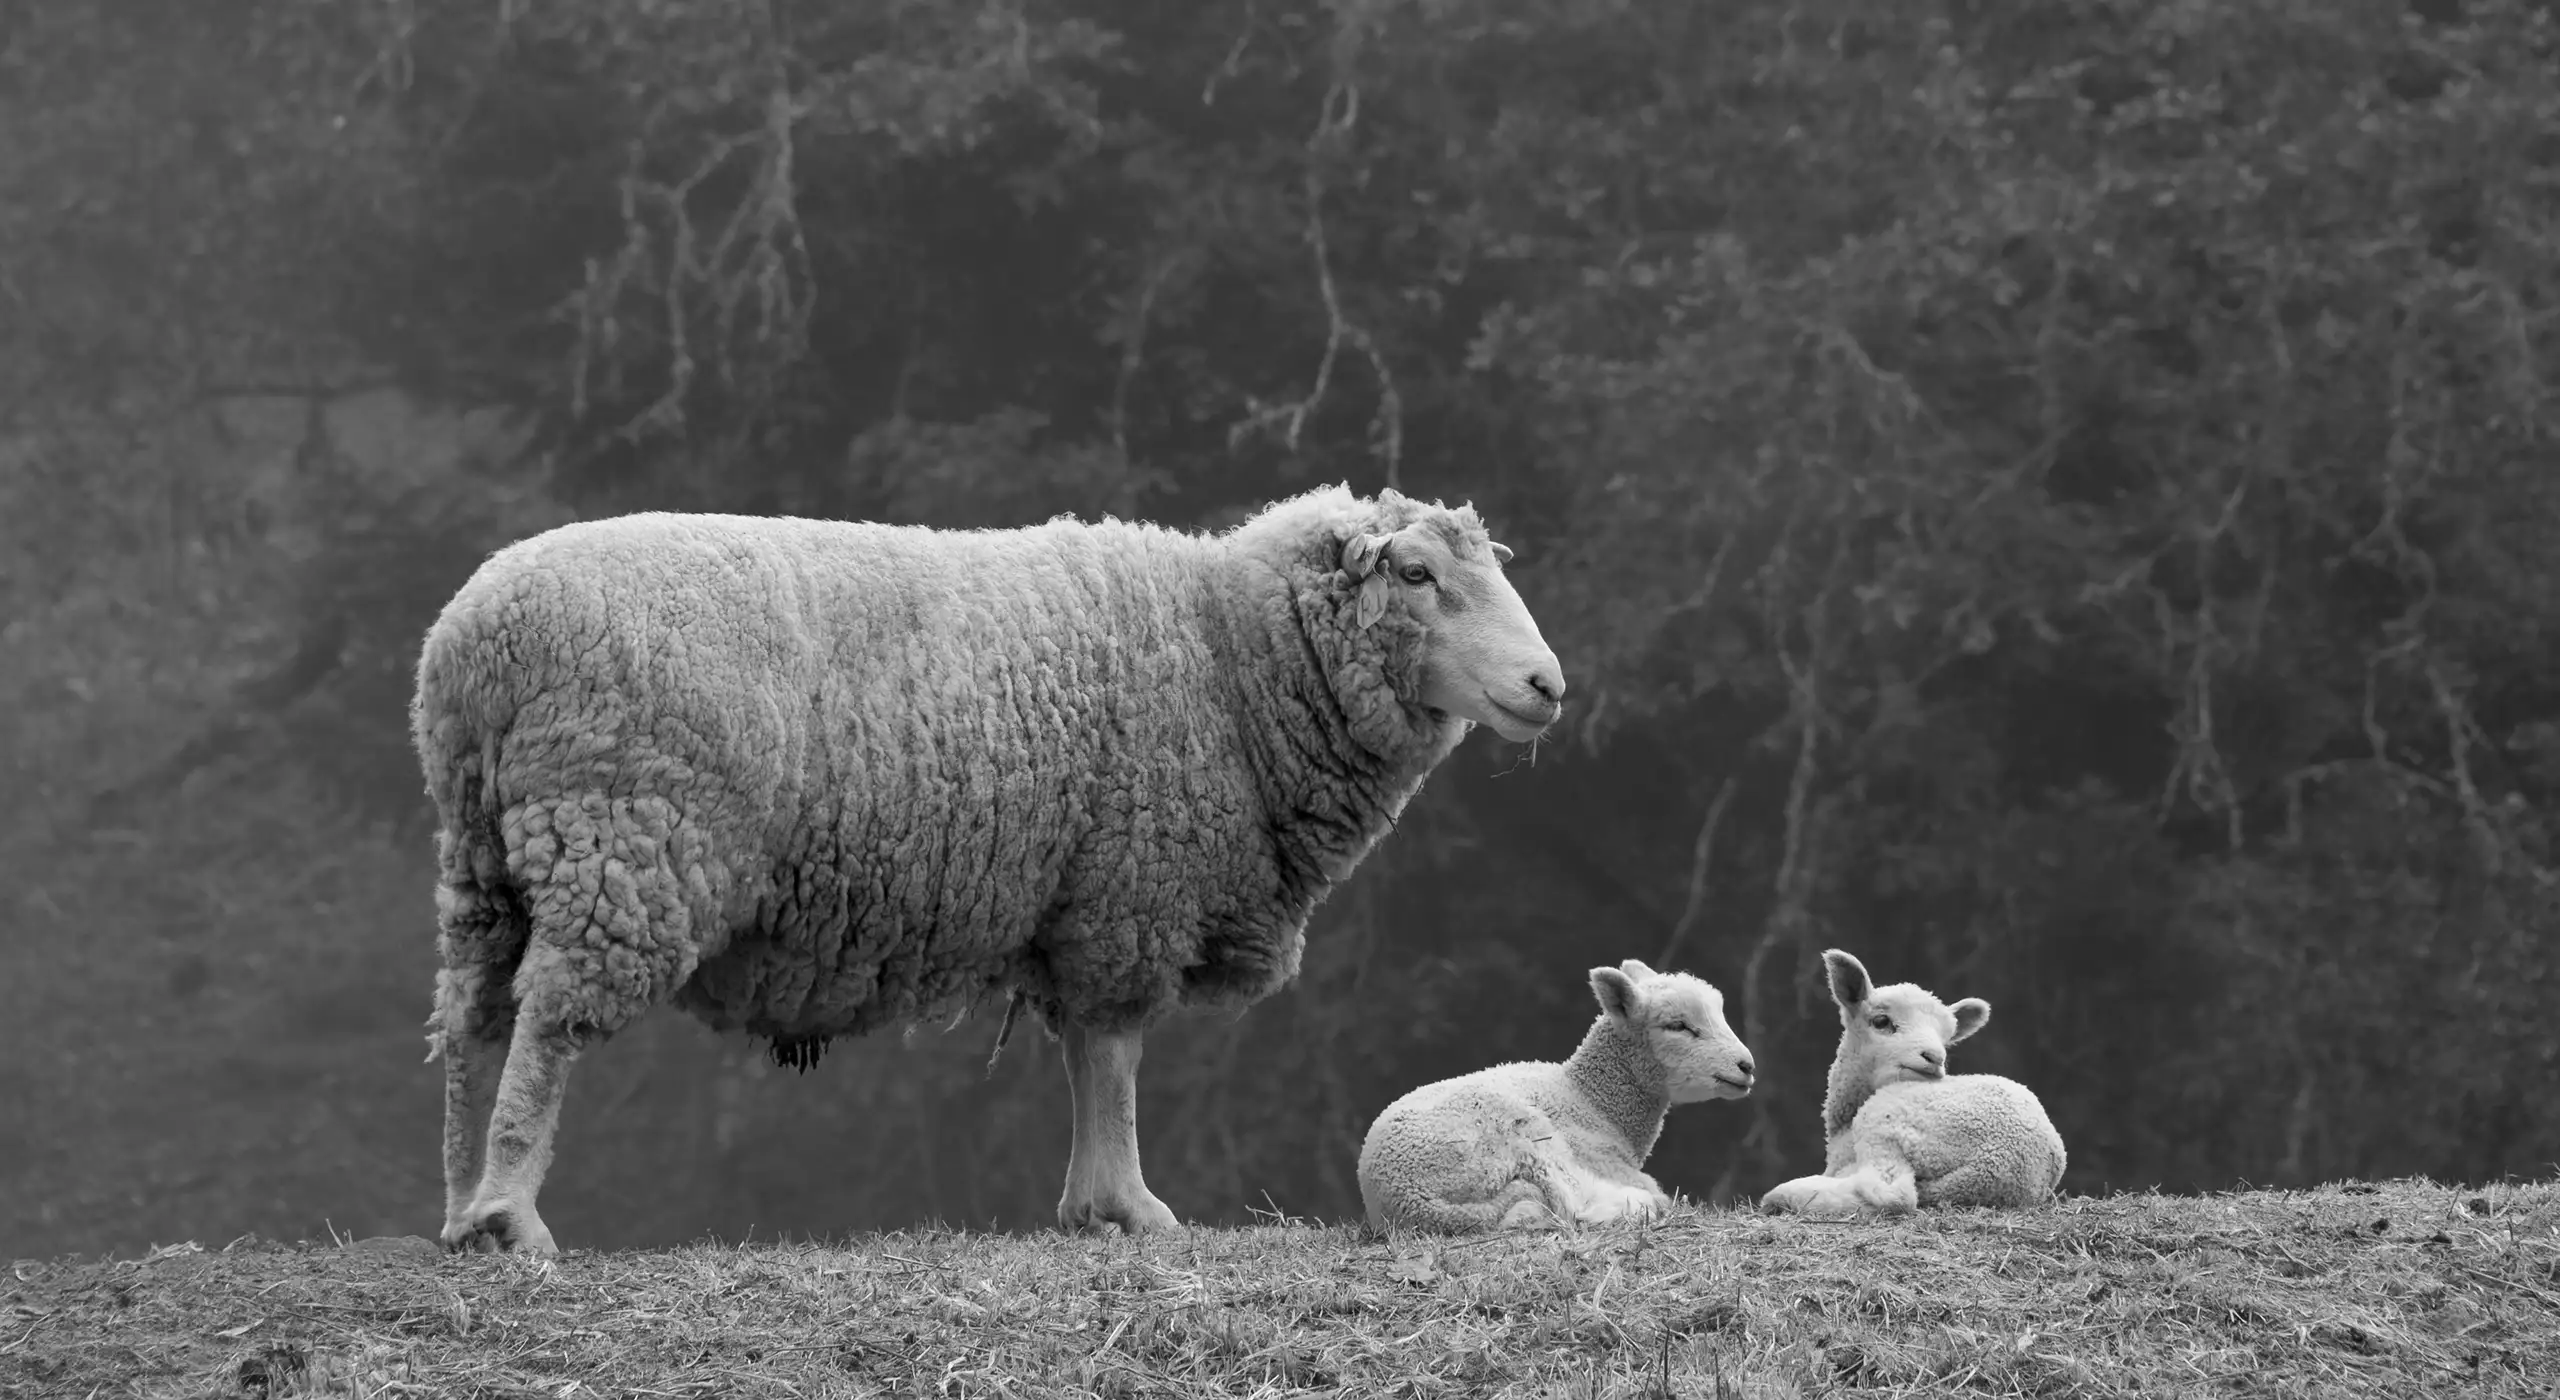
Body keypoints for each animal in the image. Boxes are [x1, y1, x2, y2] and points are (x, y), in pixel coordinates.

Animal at [413, 484, 1565, 1255]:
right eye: (1416, 574)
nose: (1546, 684)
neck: (1230, 656)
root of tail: (472, 638)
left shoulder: (1074, 904)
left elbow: (1087, 1058)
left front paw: (1088, 1206)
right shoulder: (1127, 892)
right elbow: (1117, 1058)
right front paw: (1130, 1206)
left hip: (486, 859)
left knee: (473, 1024)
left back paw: (462, 1208)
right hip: (624, 837)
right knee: (550, 1022)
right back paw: (512, 1214)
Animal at [1355, 959, 1755, 1234]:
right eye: (1678, 1026)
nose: (1747, 1066)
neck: (1592, 1100)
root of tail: (1417, 1203)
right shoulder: (1596, 1154)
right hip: (1520, 1138)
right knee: (1575, 1207)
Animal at [1757, 949, 2064, 1219]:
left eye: (1946, 1039)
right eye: (1881, 1021)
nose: (1935, 1057)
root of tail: (2006, 1162)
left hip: (1887, 1123)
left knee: (1894, 1195)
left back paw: (1786, 1194)